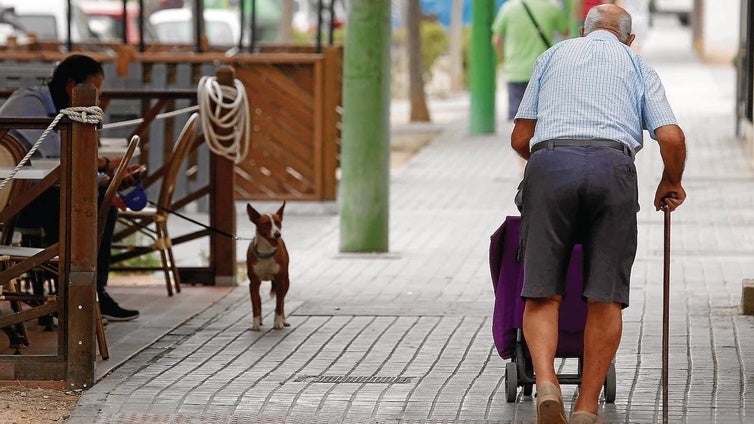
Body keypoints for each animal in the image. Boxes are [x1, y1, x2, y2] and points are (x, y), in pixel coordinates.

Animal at [245, 202, 290, 332]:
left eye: (278, 222)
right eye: (266, 223)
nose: (278, 234)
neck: (266, 252)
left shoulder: (280, 281)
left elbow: (279, 304)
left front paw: (278, 323)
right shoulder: (253, 283)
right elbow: (255, 305)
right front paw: (255, 324)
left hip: (286, 281)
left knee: (282, 301)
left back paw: (283, 320)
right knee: (259, 301)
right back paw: (260, 320)